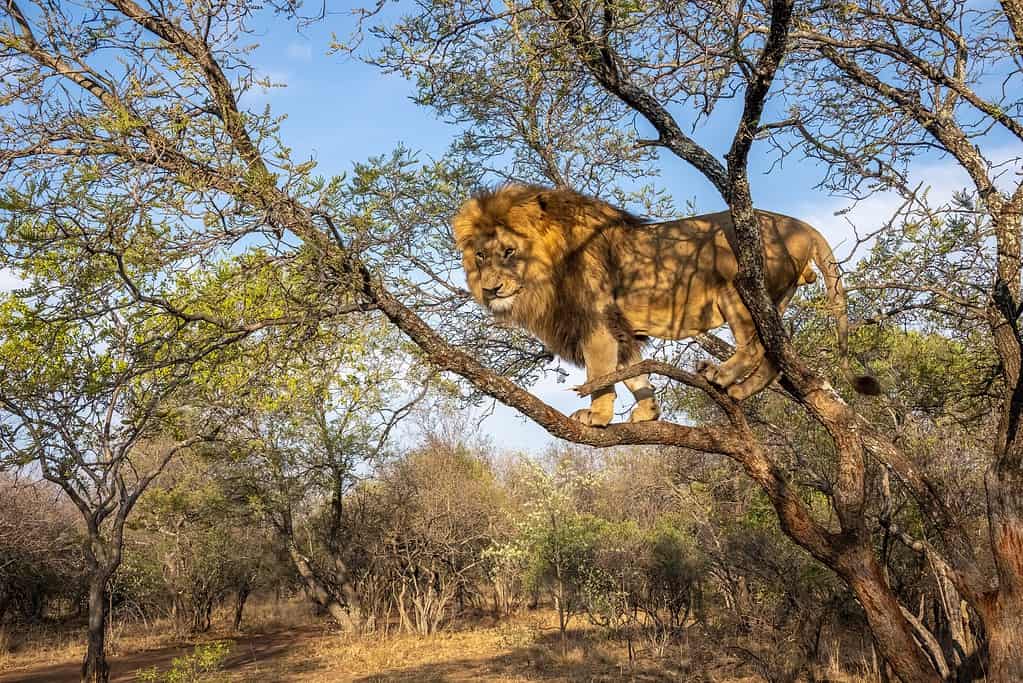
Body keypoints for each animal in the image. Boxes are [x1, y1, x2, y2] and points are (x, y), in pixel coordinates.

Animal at [456, 184, 879, 423]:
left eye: (509, 251)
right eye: (480, 256)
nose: (491, 289)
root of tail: (804, 226)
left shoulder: (596, 325)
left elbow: (600, 376)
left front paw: (597, 415)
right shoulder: (620, 328)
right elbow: (632, 373)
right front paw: (647, 412)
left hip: (734, 287)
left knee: (755, 345)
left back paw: (721, 375)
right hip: (770, 297)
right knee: (778, 352)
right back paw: (740, 392)